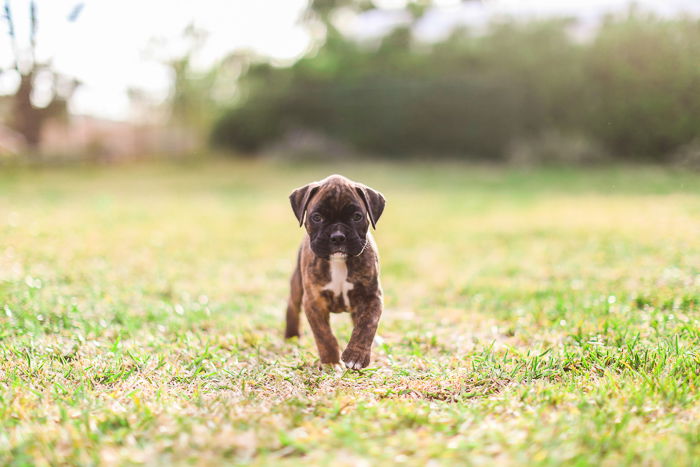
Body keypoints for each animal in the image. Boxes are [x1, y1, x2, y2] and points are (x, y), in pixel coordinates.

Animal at [284, 174, 386, 372]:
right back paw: (291, 337)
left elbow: (367, 325)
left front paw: (356, 356)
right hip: (297, 286)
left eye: (357, 217)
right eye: (317, 217)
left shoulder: (371, 297)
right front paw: (331, 362)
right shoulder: (314, 302)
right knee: (292, 307)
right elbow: (324, 335)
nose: (338, 236)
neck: (339, 263)